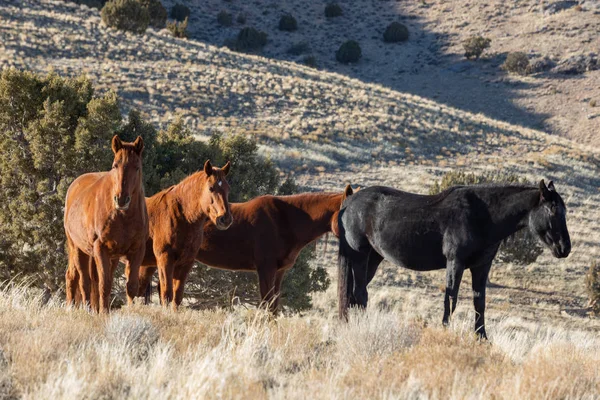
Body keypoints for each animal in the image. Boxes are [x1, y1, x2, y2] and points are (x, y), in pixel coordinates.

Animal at [64, 134, 148, 312]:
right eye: (115, 165)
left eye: (137, 167)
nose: (121, 199)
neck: (123, 217)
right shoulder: (100, 248)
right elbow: (105, 284)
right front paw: (104, 313)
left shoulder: (137, 250)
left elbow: (131, 286)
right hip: (77, 249)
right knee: (81, 280)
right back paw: (82, 309)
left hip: (110, 257)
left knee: (91, 280)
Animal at [338, 180, 572, 340]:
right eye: (552, 210)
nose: (565, 248)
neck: (482, 216)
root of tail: (349, 202)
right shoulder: (455, 263)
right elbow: (451, 300)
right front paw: (445, 331)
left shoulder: (481, 267)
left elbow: (479, 302)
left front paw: (482, 338)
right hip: (359, 256)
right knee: (360, 293)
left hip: (373, 259)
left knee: (354, 295)